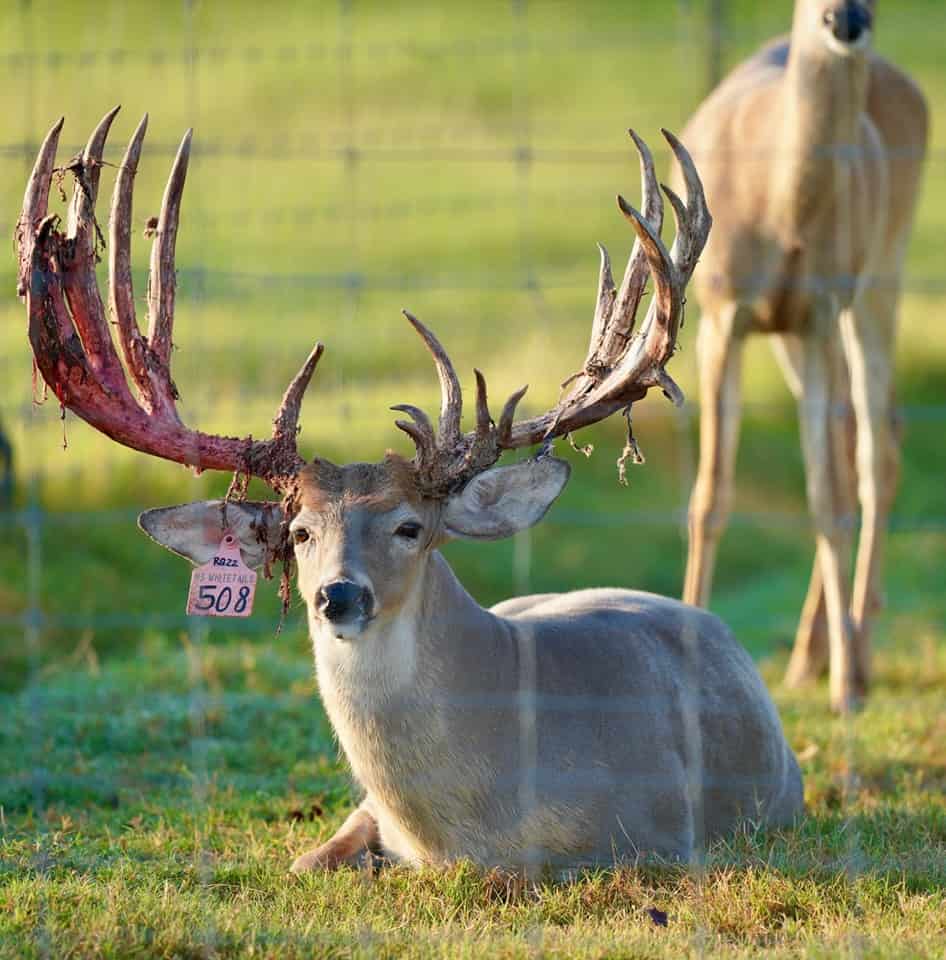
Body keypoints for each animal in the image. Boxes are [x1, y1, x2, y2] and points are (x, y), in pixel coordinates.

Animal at [16, 108, 803, 875]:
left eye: (410, 528)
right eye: (299, 531)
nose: (337, 595)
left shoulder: (658, 837)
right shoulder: (367, 813)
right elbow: (306, 862)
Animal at [678, 0, 928, 713]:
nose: (845, 20)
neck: (777, 203)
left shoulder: (818, 314)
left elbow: (823, 499)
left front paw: (846, 691)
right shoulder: (720, 315)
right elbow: (710, 496)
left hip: (881, 274)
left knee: (876, 451)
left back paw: (856, 655)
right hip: (801, 330)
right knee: (860, 438)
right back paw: (809, 657)